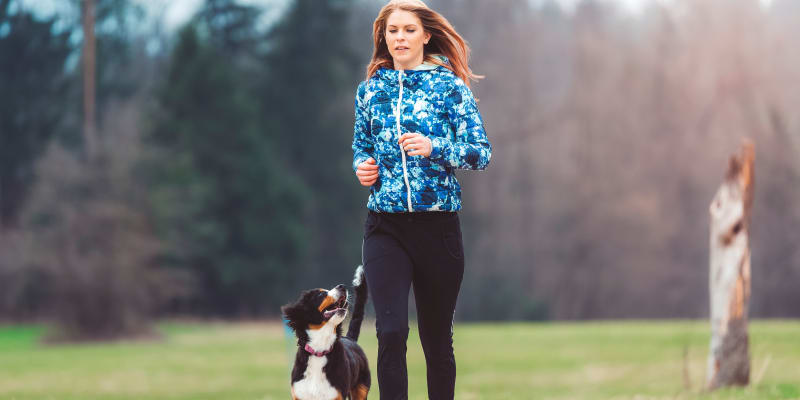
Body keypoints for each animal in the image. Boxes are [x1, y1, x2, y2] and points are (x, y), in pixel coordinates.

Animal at [282, 264, 368, 398]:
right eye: (321, 295)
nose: (342, 286)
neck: (319, 350)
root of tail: (350, 339)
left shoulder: (336, 395)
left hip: (361, 391)